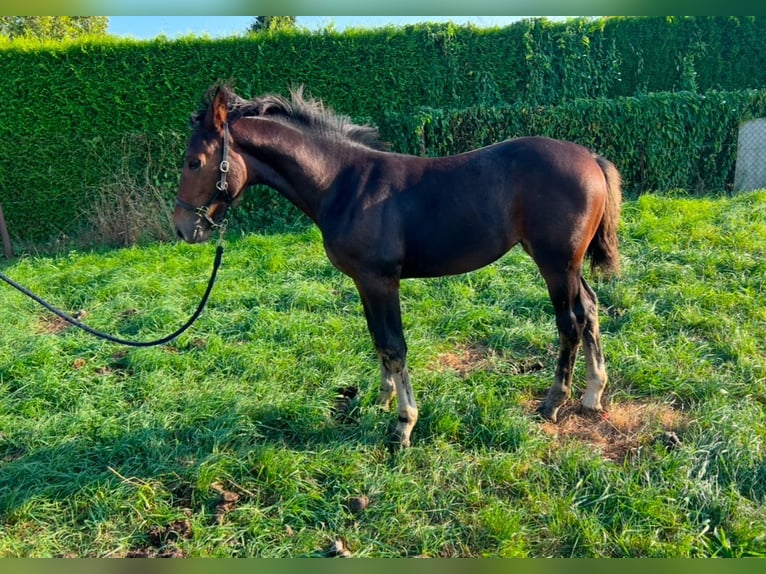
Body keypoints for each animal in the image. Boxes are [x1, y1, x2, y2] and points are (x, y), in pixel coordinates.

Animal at [176, 84, 624, 450]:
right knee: (589, 309)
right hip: (568, 264)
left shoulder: (380, 280)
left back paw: (554, 402)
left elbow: (394, 345)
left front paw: (403, 425)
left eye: (194, 162)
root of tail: (590, 157)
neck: (343, 184)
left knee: (569, 323)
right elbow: (379, 340)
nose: (183, 228)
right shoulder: (363, 282)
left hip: (555, 264)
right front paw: (383, 398)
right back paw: (593, 393)